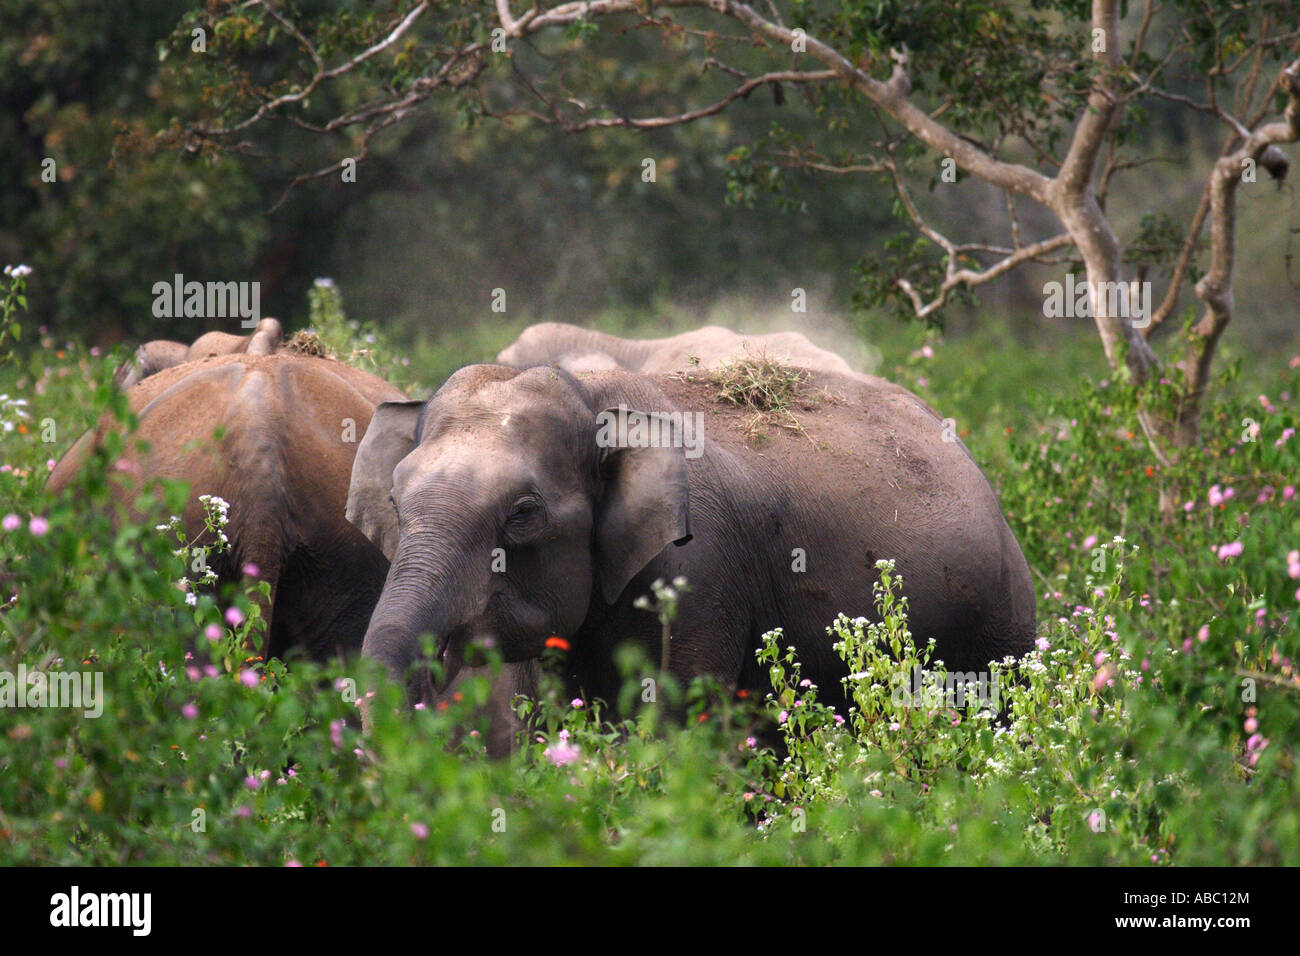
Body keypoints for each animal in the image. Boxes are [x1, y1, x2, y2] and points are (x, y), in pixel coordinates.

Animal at [345, 363, 1037, 715]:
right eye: (396, 503)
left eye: (522, 514)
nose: (425, 680)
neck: (594, 397)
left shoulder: (699, 574)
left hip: (1001, 623)